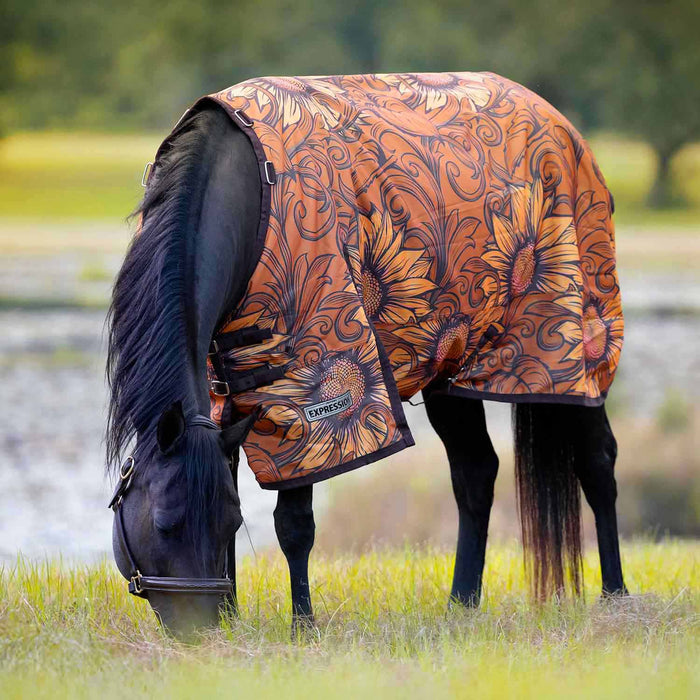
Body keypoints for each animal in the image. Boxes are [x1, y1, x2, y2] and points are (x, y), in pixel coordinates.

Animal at [106, 72, 627, 638]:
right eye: (164, 523)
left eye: (228, 521)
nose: (199, 632)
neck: (249, 189)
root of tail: (565, 129)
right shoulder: (224, 396)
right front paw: (237, 614)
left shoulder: (306, 392)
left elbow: (294, 524)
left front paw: (303, 627)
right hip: (452, 366)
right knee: (476, 473)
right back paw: (461, 604)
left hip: (567, 358)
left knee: (597, 461)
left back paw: (616, 596)